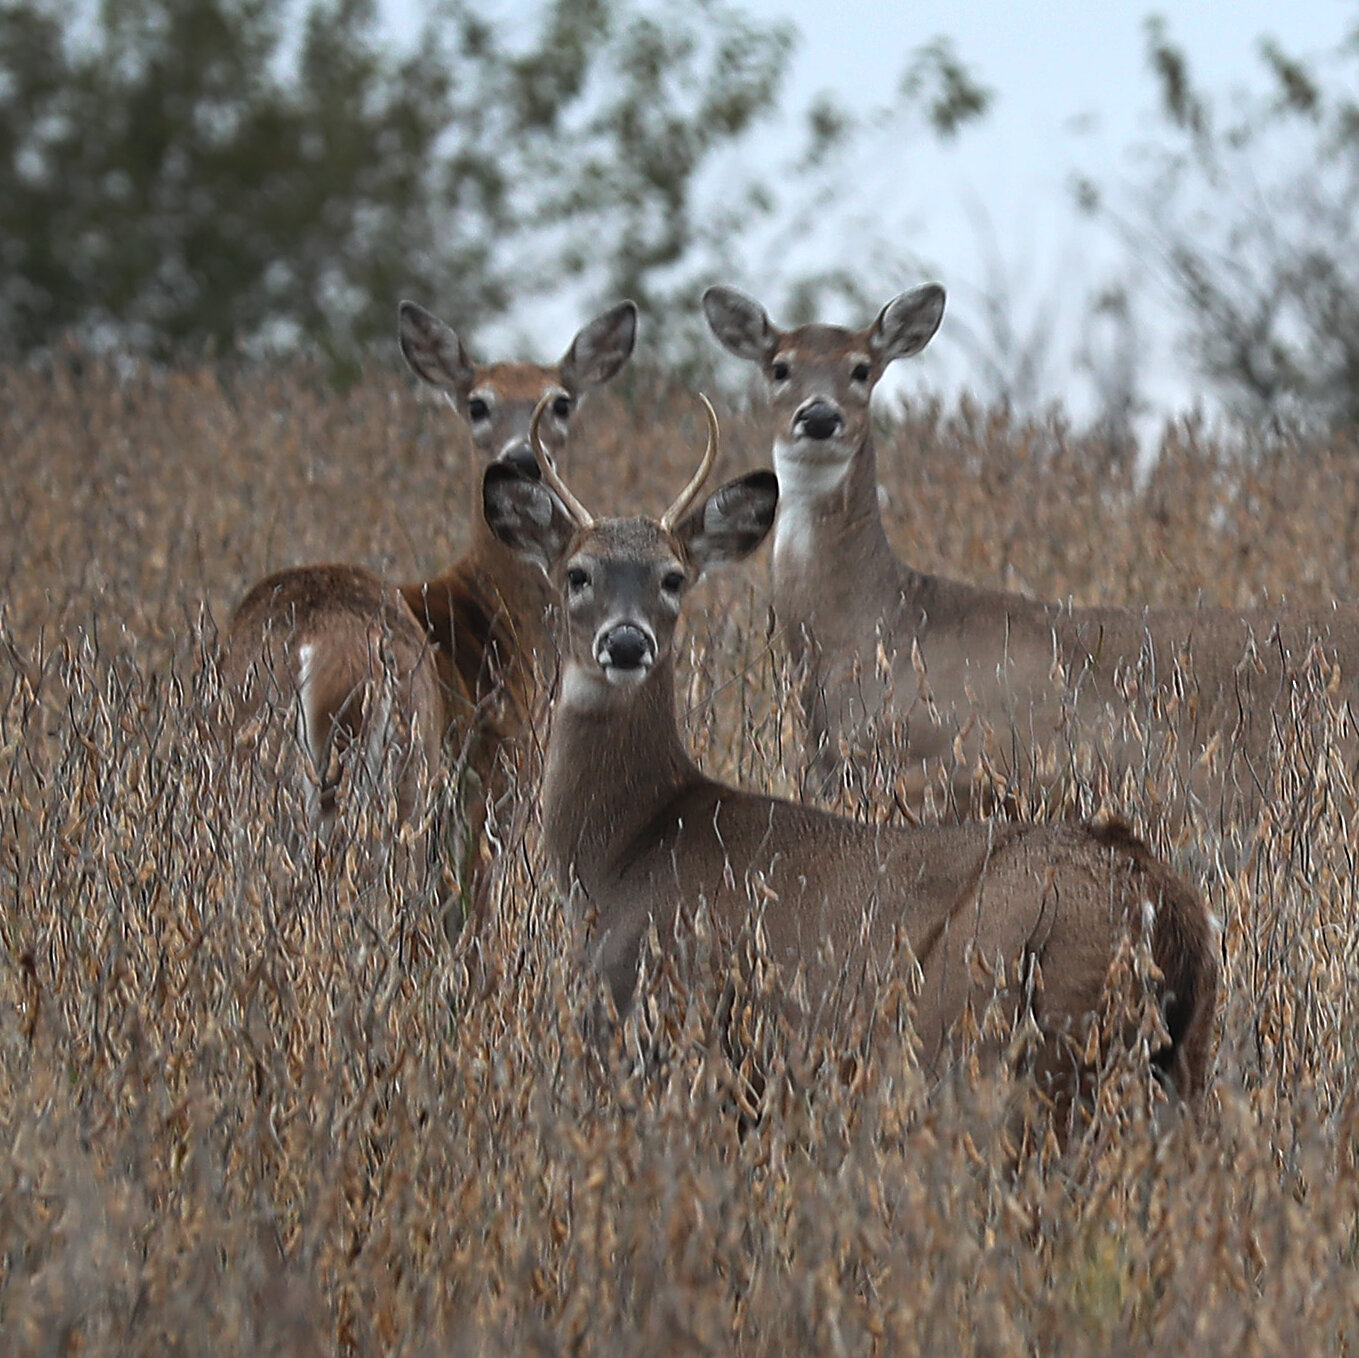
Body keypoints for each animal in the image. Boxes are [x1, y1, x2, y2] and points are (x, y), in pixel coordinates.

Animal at [221, 294, 636, 913]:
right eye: (477, 403)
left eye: (561, 401)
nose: (522, 459)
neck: (499, 616)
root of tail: (314, 640)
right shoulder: (496, 788)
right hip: (404, 774)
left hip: (246, 768)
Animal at [481, 394, 1223, 1125]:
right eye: (577, 574)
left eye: (672, 578)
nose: (627, 642)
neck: (622, 853)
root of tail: (1159, 901)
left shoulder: (643, 1017)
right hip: (1180, 1058)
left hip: (983, 1031)